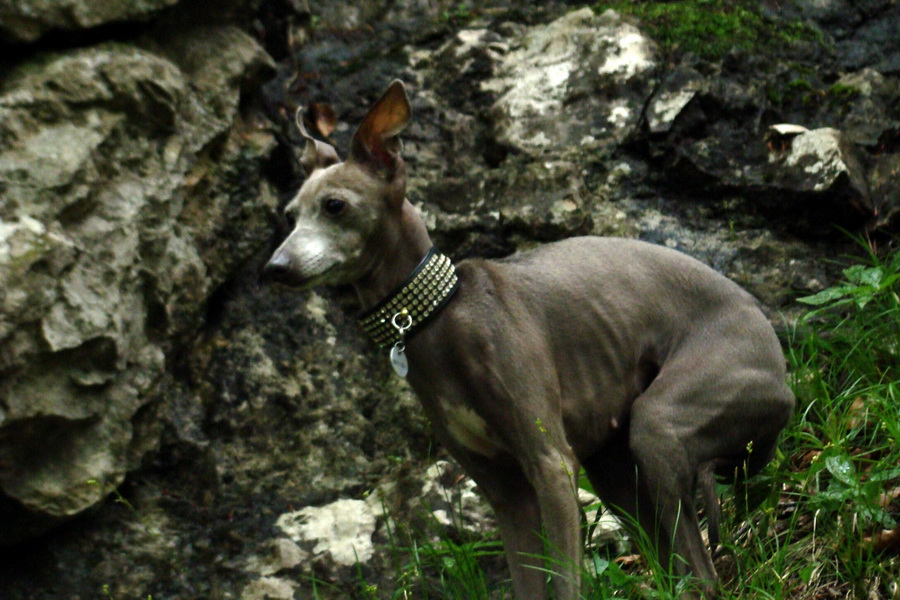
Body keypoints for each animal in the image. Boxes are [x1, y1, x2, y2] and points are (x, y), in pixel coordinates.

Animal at [266, 81, 796, 600]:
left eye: (334, 205)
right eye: (291, 214)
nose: (274, 268)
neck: (438, 316)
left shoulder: (551, 466)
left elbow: (564, 581)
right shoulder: (505, 494)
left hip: (661, 423)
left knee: (702, 574)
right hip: (615, 469)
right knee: (675, 569)